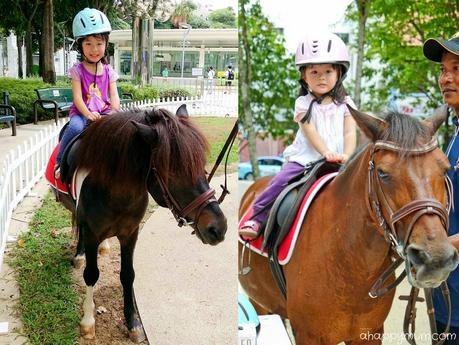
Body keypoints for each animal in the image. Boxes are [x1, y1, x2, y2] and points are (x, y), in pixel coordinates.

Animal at [239, 106, 459, 342]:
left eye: (445, 169)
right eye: (382, 173)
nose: (436, 259)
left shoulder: (370, 333)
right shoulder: (309, 336)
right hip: (259, 304)